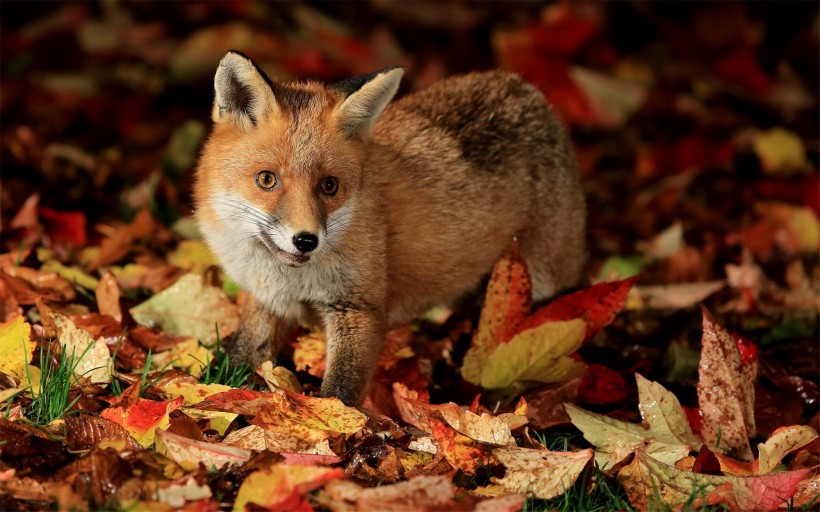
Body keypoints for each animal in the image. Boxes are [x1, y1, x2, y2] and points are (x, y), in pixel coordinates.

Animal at [195, 50, 588, 406]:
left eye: (329, 186)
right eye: (266, 180)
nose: (306, 240)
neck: (291, 279)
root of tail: (525, 89)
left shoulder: (359, 309)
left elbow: (341, 392)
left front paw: (339, 429)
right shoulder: (266, 300)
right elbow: (240, 357)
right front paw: (215, 392)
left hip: (546, 282)